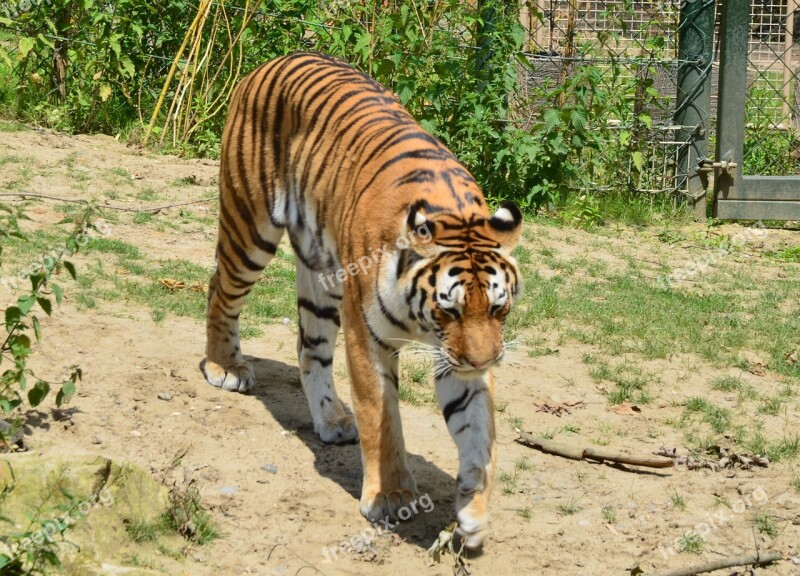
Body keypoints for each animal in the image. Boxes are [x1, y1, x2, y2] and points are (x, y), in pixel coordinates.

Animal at [203, 51, 520, 548]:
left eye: (497, 308)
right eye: (448, 309)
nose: (483, 361)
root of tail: (275, 59)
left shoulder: (459, 356)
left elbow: (477, 428)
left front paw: (473, 509)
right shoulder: (367, 335)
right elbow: (381, 417)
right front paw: (391, 496)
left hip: (323, 278)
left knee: (309, 348)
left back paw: (331, 419)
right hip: (249, 225)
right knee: (220, 289)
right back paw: (225, 367)